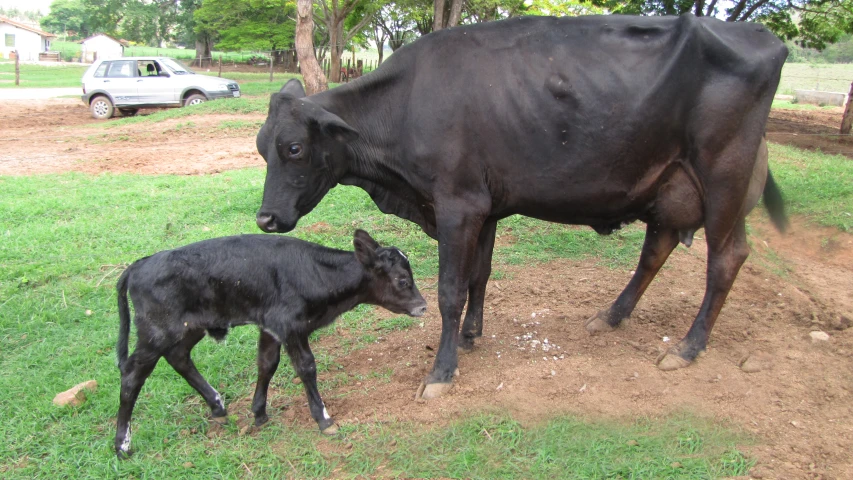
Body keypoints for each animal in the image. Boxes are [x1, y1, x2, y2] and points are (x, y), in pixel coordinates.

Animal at [115, 231, 426, 460]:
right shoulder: (290, 327)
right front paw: (324, 418)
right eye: (402, 280)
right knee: (132, 375)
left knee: (178, 357)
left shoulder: (270, 329)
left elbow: (266, 364)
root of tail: (141, 264)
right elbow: (306, 367)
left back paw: (217, 405)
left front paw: (259, 413)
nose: (423, 306)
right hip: (156, 332)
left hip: (188, 328)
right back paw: (122, 445)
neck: (316, 273)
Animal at [253, 14, 784, 398]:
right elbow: (479, 276)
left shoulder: (458, 204)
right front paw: (471, 335)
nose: (265, 218)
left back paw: (688, 348)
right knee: (657, 249)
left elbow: (450, 290)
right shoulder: (486, 207)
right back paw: (610, 316)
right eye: (261, 147)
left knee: (725, 260)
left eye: (294, 148)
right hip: (670, 188)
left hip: (723, 180)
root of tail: (762, 37)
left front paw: (442, 371)